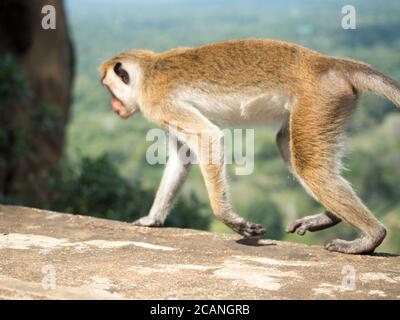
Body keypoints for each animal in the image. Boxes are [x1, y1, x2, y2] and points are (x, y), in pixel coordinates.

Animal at [99, 38, 400, 254]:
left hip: (319, 100)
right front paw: (152, 219)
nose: (114, 107)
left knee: (309, 167)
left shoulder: (156, 101)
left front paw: (230, 219)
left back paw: (372, 237)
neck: (148, 71)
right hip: (330, 104)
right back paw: (331, 217)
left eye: (111, 90)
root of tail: (328, 63)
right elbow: (182, 156)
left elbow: (207, 137)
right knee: (286, 145)